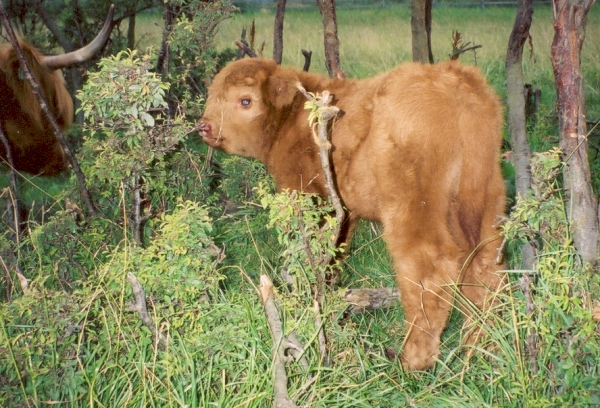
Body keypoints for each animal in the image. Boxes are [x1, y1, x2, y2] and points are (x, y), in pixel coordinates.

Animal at [200, 58, 506, 370]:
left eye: (245, 100)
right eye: (213, 96)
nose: (205, 125)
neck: (293, 119)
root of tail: (457, 86)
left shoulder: (309, 196)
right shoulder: (345, 214)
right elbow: (334, 256)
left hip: (413, 204)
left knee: (428, 266)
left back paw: (412, 360)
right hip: (485, 198)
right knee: (484, 263)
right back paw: (481, 347)